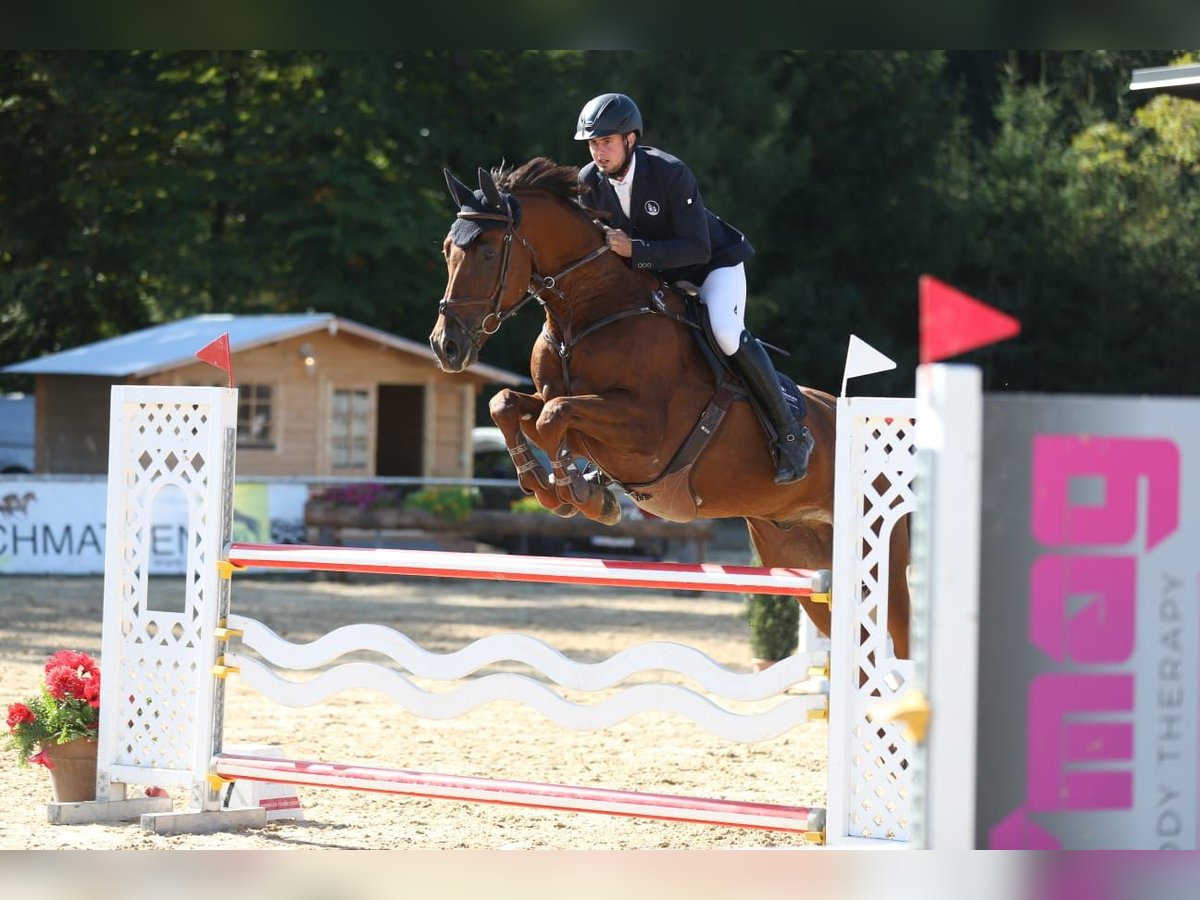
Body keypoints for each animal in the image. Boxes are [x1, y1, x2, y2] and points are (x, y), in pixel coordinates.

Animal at [427, 158, 902, 657]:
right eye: (447, 250)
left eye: (486, 253)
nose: (446, 346)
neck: (588, 312)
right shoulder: (559, 402)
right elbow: (510, 405)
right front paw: (554, 485)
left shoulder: (646, 431)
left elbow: (554, 414)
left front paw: (573, 490)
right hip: (793, 547)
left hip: (880, 557)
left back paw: (794, 450)